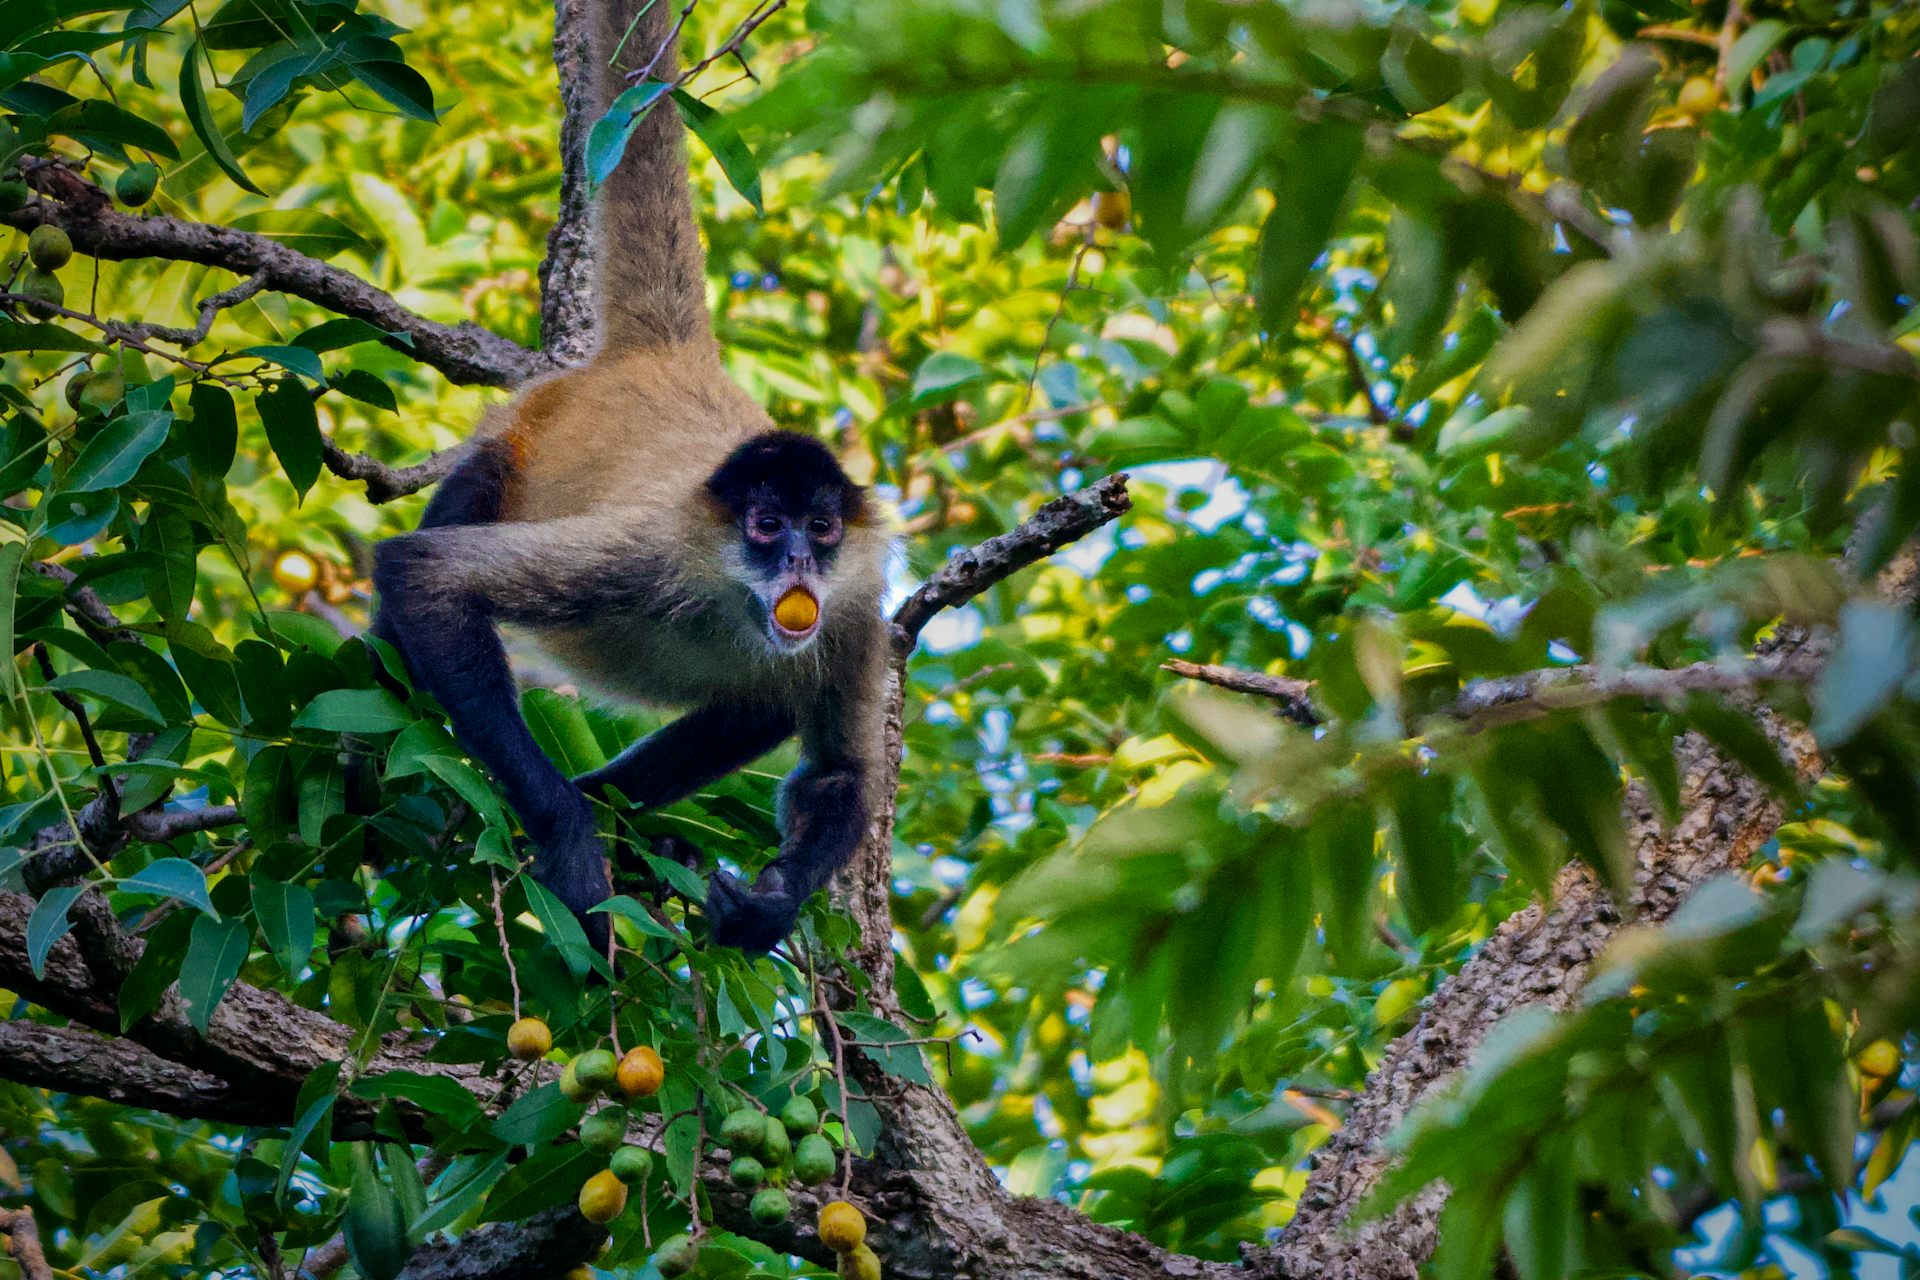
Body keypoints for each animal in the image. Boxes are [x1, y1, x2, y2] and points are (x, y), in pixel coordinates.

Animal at [368, 0, 890, 956]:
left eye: (824, 528)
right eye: (767, 526)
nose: (801, 561)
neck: (733, 599)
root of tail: (667, 357)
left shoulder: (857, 607)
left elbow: (837, 775)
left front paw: (769, 904)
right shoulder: (646, 551)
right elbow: (424, 578)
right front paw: (570, 836)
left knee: (763, 702)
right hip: (514, 443)